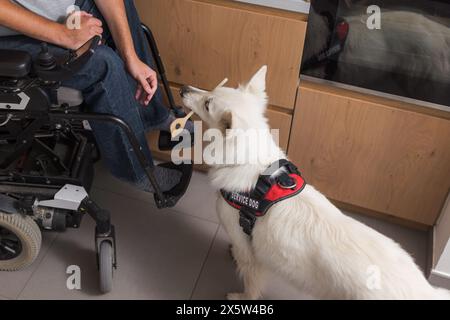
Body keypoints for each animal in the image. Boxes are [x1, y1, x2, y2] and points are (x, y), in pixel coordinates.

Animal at [180, 66, 450, 298]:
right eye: (211, 91)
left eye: (207, 103)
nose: (182, 88)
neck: (256, 169)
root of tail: (425, 291)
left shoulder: (246, 248)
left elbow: (250, 281)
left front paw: (241, 296)